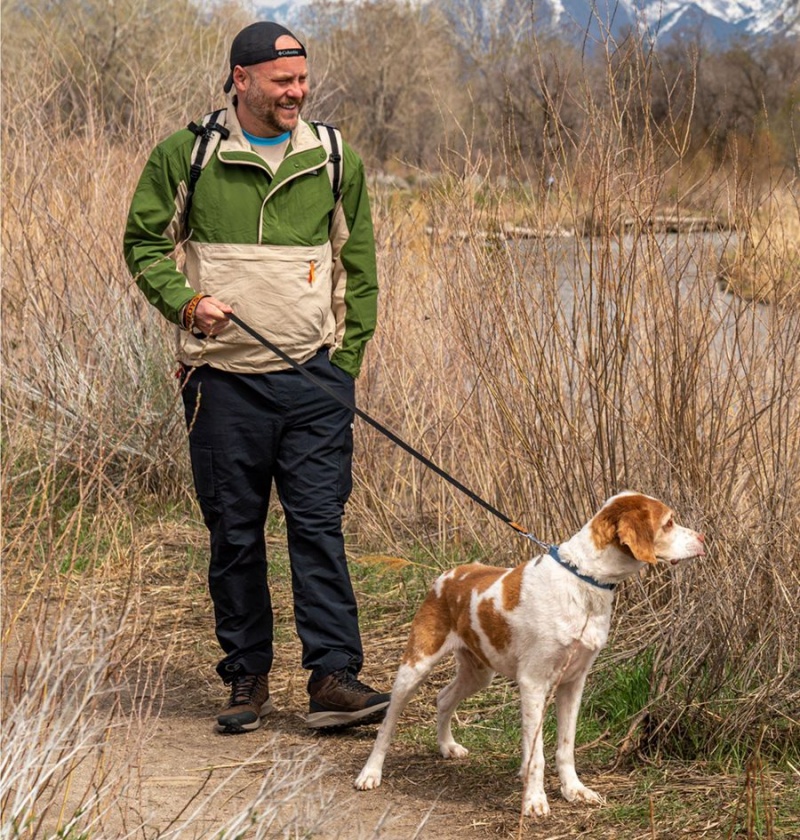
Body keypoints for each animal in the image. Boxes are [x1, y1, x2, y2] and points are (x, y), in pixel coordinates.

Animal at [356, 492, 708, 812]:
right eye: (669, 522)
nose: (704, 537)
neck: (585, 581)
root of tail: (447, 575)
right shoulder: (533, 683)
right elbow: (537, 754)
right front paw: (535, 801)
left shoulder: (573, 683)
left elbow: (565, 747)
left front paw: (574, 791)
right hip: (415, 666)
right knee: (388, 723)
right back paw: (370, 773)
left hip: (478, 672)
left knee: (443, 698)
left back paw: (447, 746)